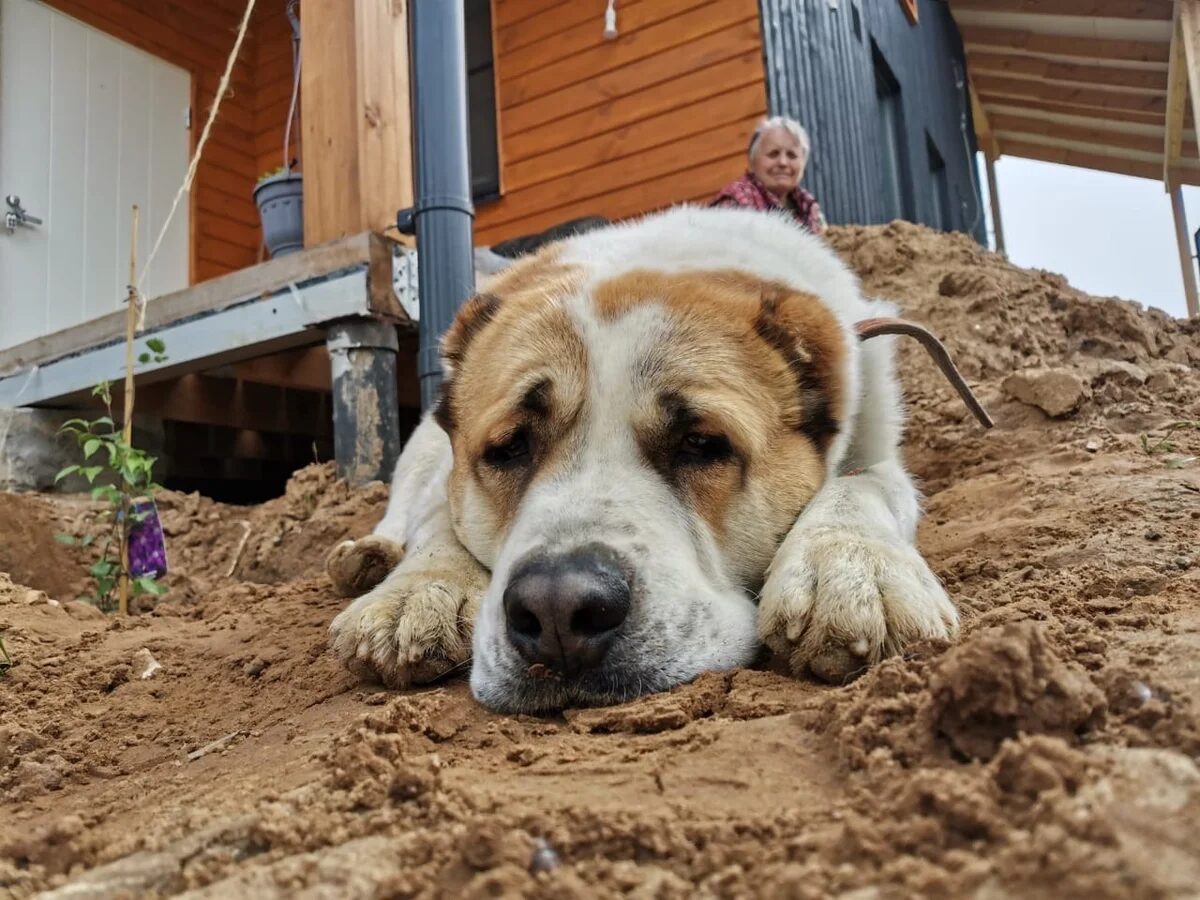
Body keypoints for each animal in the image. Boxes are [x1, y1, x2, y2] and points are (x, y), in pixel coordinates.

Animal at [328, 207, 974, 715]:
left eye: (702, 444)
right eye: (509, 448)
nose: (558, 608)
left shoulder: (874, 439)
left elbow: (865, 482)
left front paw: (850, 566)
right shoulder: (450, 471)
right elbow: (440, 520)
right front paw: (418, 589)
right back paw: (366, 557)